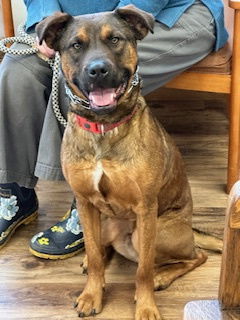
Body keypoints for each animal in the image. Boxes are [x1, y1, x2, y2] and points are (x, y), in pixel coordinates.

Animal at [36, 6, 209, 320]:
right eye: (76, 45)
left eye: (115, 39)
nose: (97, 70)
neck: (104, 127)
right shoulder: (85, 203)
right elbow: (94, 256)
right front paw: (92, 294)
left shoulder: (146, 208)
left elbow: (143, 271)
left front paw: (146, 306)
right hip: (103, 223)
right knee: (103, 249)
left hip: (155, 232)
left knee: (193, 256)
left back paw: (162, 276)